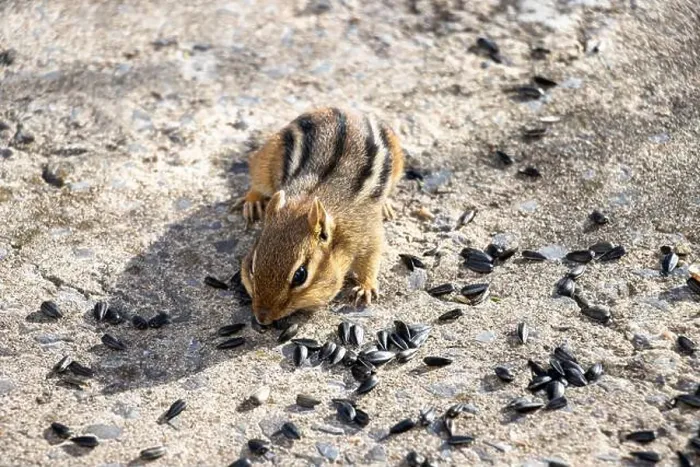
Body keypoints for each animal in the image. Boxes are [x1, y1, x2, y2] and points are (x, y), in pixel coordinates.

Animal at [237, 107, 405, 325]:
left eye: (300, 275)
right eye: (252, 266)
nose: (262, 318)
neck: (305, 203)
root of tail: (344, 110)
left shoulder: (368, 232)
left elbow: (372, 258)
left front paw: (365, 287)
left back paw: (386, 205)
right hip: (267, 156)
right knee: (257, 181)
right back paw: (253, 202)